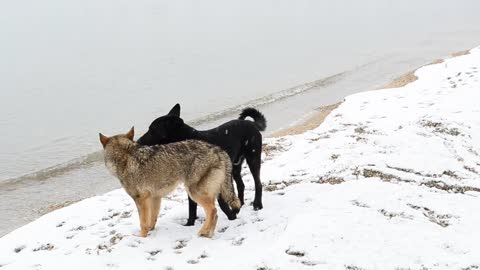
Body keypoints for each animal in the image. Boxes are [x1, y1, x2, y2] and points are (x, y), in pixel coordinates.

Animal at [137, 104, 266, 226]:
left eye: (152, 130)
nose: (138, 141)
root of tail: (251, 123)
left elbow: (220, 202)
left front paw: (231, 217)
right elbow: (192, 206)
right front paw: (190, 224)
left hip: (253, 158)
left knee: (258, 183)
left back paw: (257, 204)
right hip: (234, 167)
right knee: (240, 185)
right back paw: (240, 205)